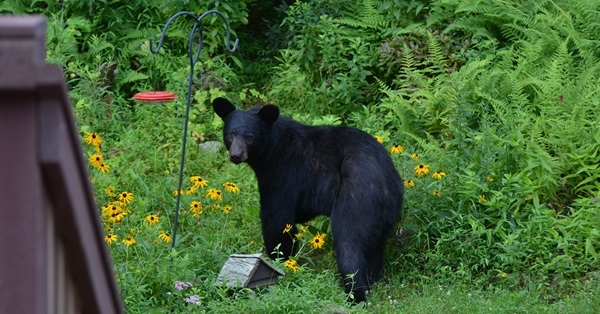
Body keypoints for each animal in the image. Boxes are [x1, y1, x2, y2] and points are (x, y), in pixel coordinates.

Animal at [213, 97, 406, 302]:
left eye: (249, 137)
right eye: (231, 134)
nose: (236, 155)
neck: (270, 150)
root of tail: (387, 182)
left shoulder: (283, 172)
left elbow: (276, 218)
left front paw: (281, 261)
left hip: (357, 197)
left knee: (349, 242)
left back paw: (355, 294)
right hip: (384, 215)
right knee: (375, 247)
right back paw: (371, 282)